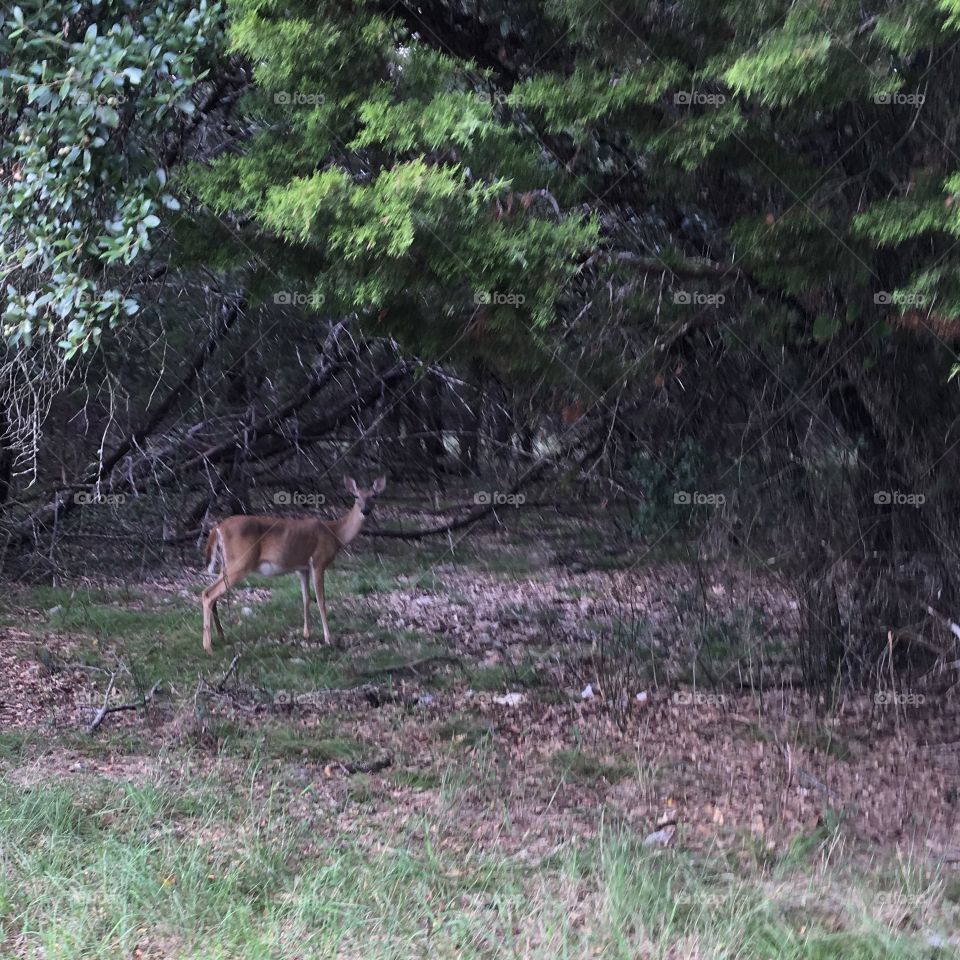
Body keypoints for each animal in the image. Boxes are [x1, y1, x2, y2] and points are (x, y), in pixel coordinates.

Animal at [201, 476, 386, 653]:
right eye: (356, 496)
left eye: (374, 496)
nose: (365, 510)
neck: (334, 533)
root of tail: (217, 528)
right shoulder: (318, 561)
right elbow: (321, 600)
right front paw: (328, 638)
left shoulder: (302, 568)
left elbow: (306, 598)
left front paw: (307, 633)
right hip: (240, 562)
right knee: (208, 593)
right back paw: (208, 646)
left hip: (226, 563)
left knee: (212, 594)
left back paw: (221, 637)